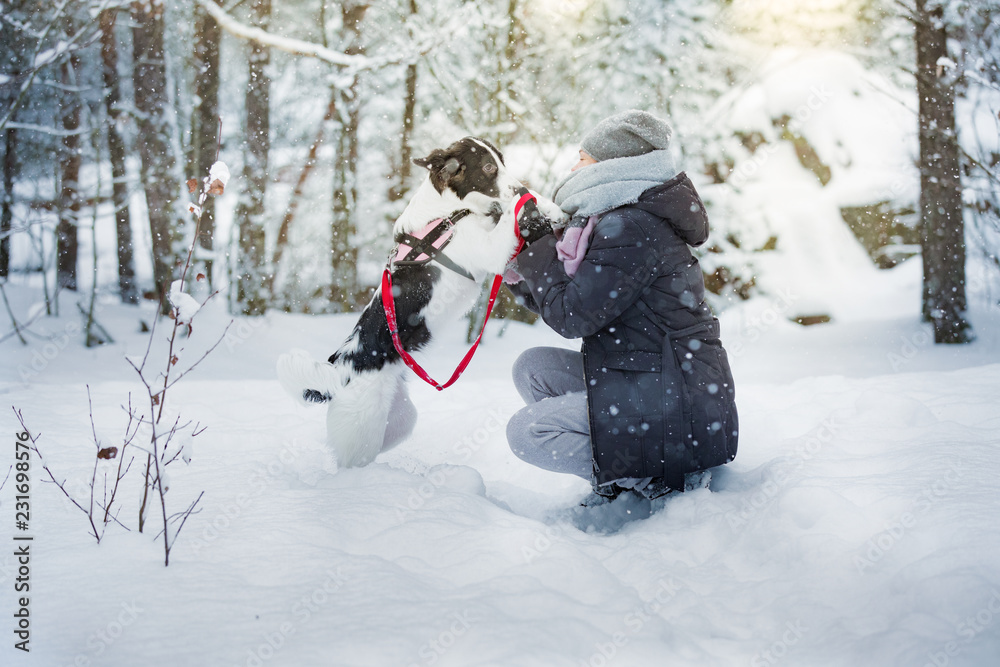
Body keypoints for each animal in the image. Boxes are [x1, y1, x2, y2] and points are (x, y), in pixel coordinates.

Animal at [278, 136, 568, 470]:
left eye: (502, 161)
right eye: (488, 167)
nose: (519, 186)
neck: (454, 211)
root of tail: (339, 369)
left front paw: (548, 206)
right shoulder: (489, 249)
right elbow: (508, 216)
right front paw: (526, 201)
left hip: (400, 419)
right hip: (361, 432)